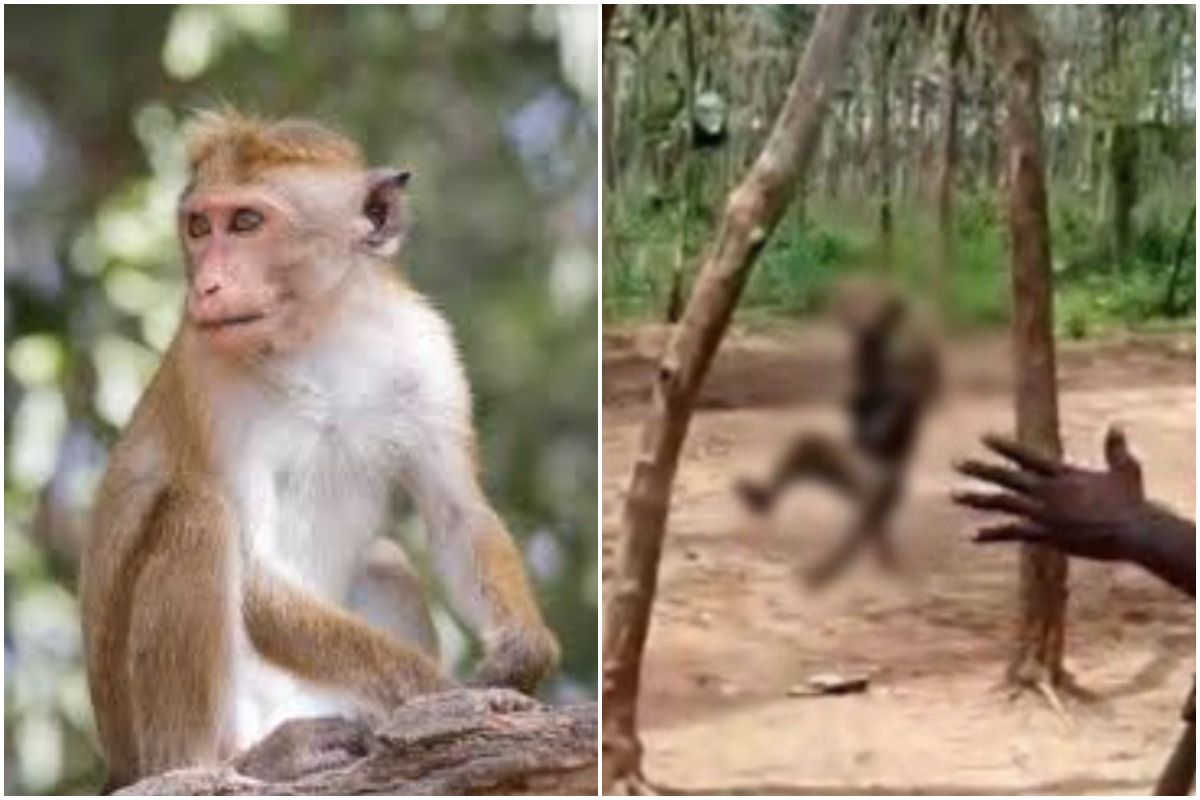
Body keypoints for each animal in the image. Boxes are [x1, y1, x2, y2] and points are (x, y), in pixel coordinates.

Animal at [79, 110, 559, 791]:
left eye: (246, 222)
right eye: (200, 227)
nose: (208, 285)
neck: (321, 333)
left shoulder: (427, 349)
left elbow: (457, 513)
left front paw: (521, 655)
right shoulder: (208, 377)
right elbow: (256, 575)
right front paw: (445, 695)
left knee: (385, 560)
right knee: (198, 515)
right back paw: (229, 762)